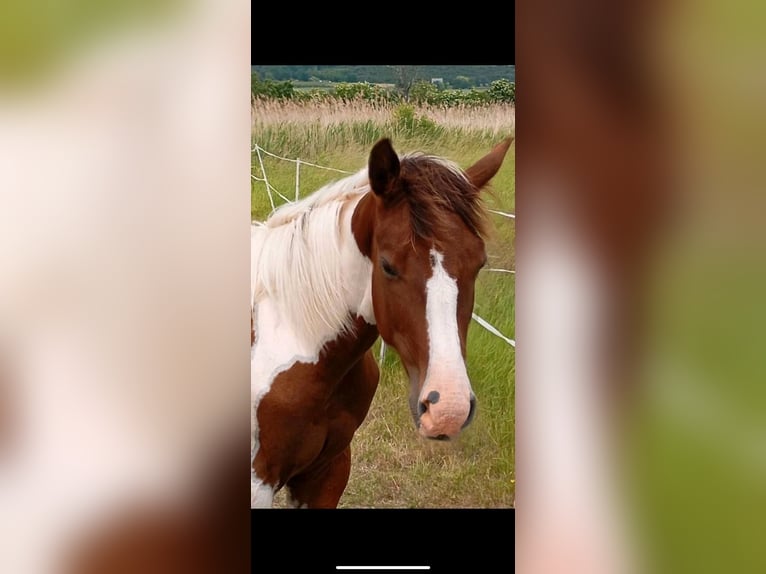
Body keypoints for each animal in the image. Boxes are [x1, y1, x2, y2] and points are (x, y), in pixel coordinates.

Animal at [251, 137, 512, 508]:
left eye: (479, 263)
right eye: (387, 265)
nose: (448, 408)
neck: (289, 331)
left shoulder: (328, 472)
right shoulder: (259, 481)